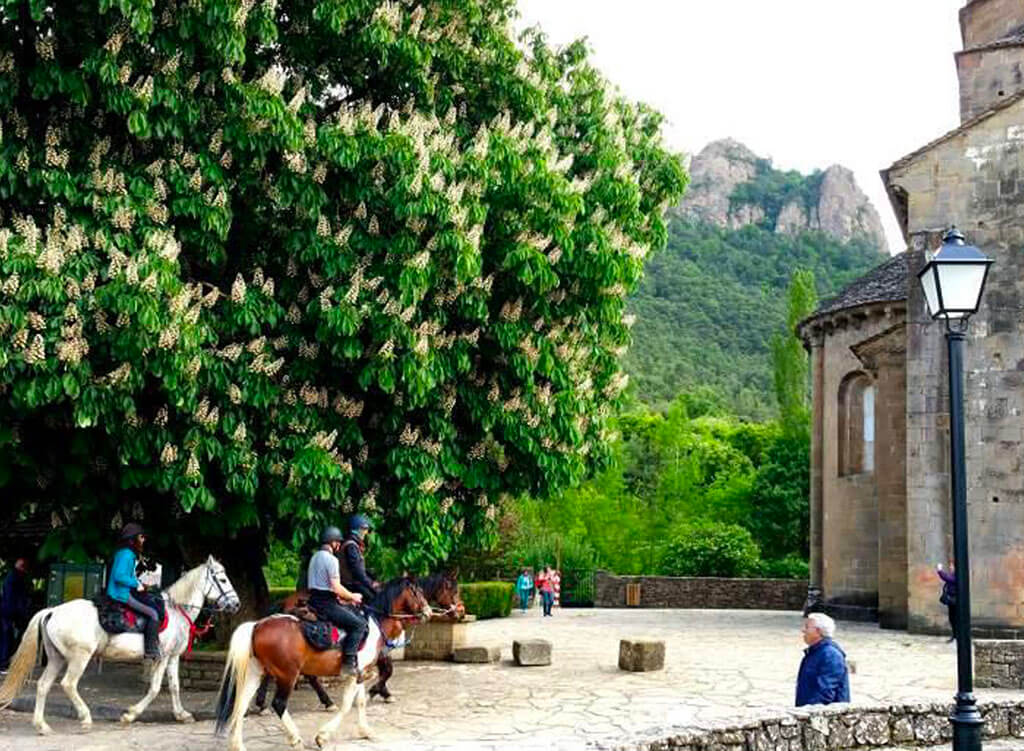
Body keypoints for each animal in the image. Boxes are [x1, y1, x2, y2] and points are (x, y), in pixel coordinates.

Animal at [0, 557, 238, 733]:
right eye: (223, 579)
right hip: (79, 657)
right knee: (68, 684)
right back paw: (85, 718)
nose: (236, 604)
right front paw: (130, 715)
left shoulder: (172, 657)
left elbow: (174, 686)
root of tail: (52, 611)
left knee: (43, 685)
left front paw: (182, 715)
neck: (176, 609)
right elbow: (154, 689)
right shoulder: (161, 657)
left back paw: (42, 726)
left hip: (57, 658)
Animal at [214, 577, 430, 749]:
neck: (374, 622)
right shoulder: (355, 673)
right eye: (418, 592)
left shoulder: (361, 671)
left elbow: (359, 702)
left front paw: (365, 731)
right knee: (279, 703)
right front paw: (323, 736)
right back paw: (295, 738)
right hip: (287, 675)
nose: (428, 612)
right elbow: (347, 705)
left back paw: (238, 744)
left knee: (241, 704)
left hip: (256, 672)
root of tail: (258, 625)